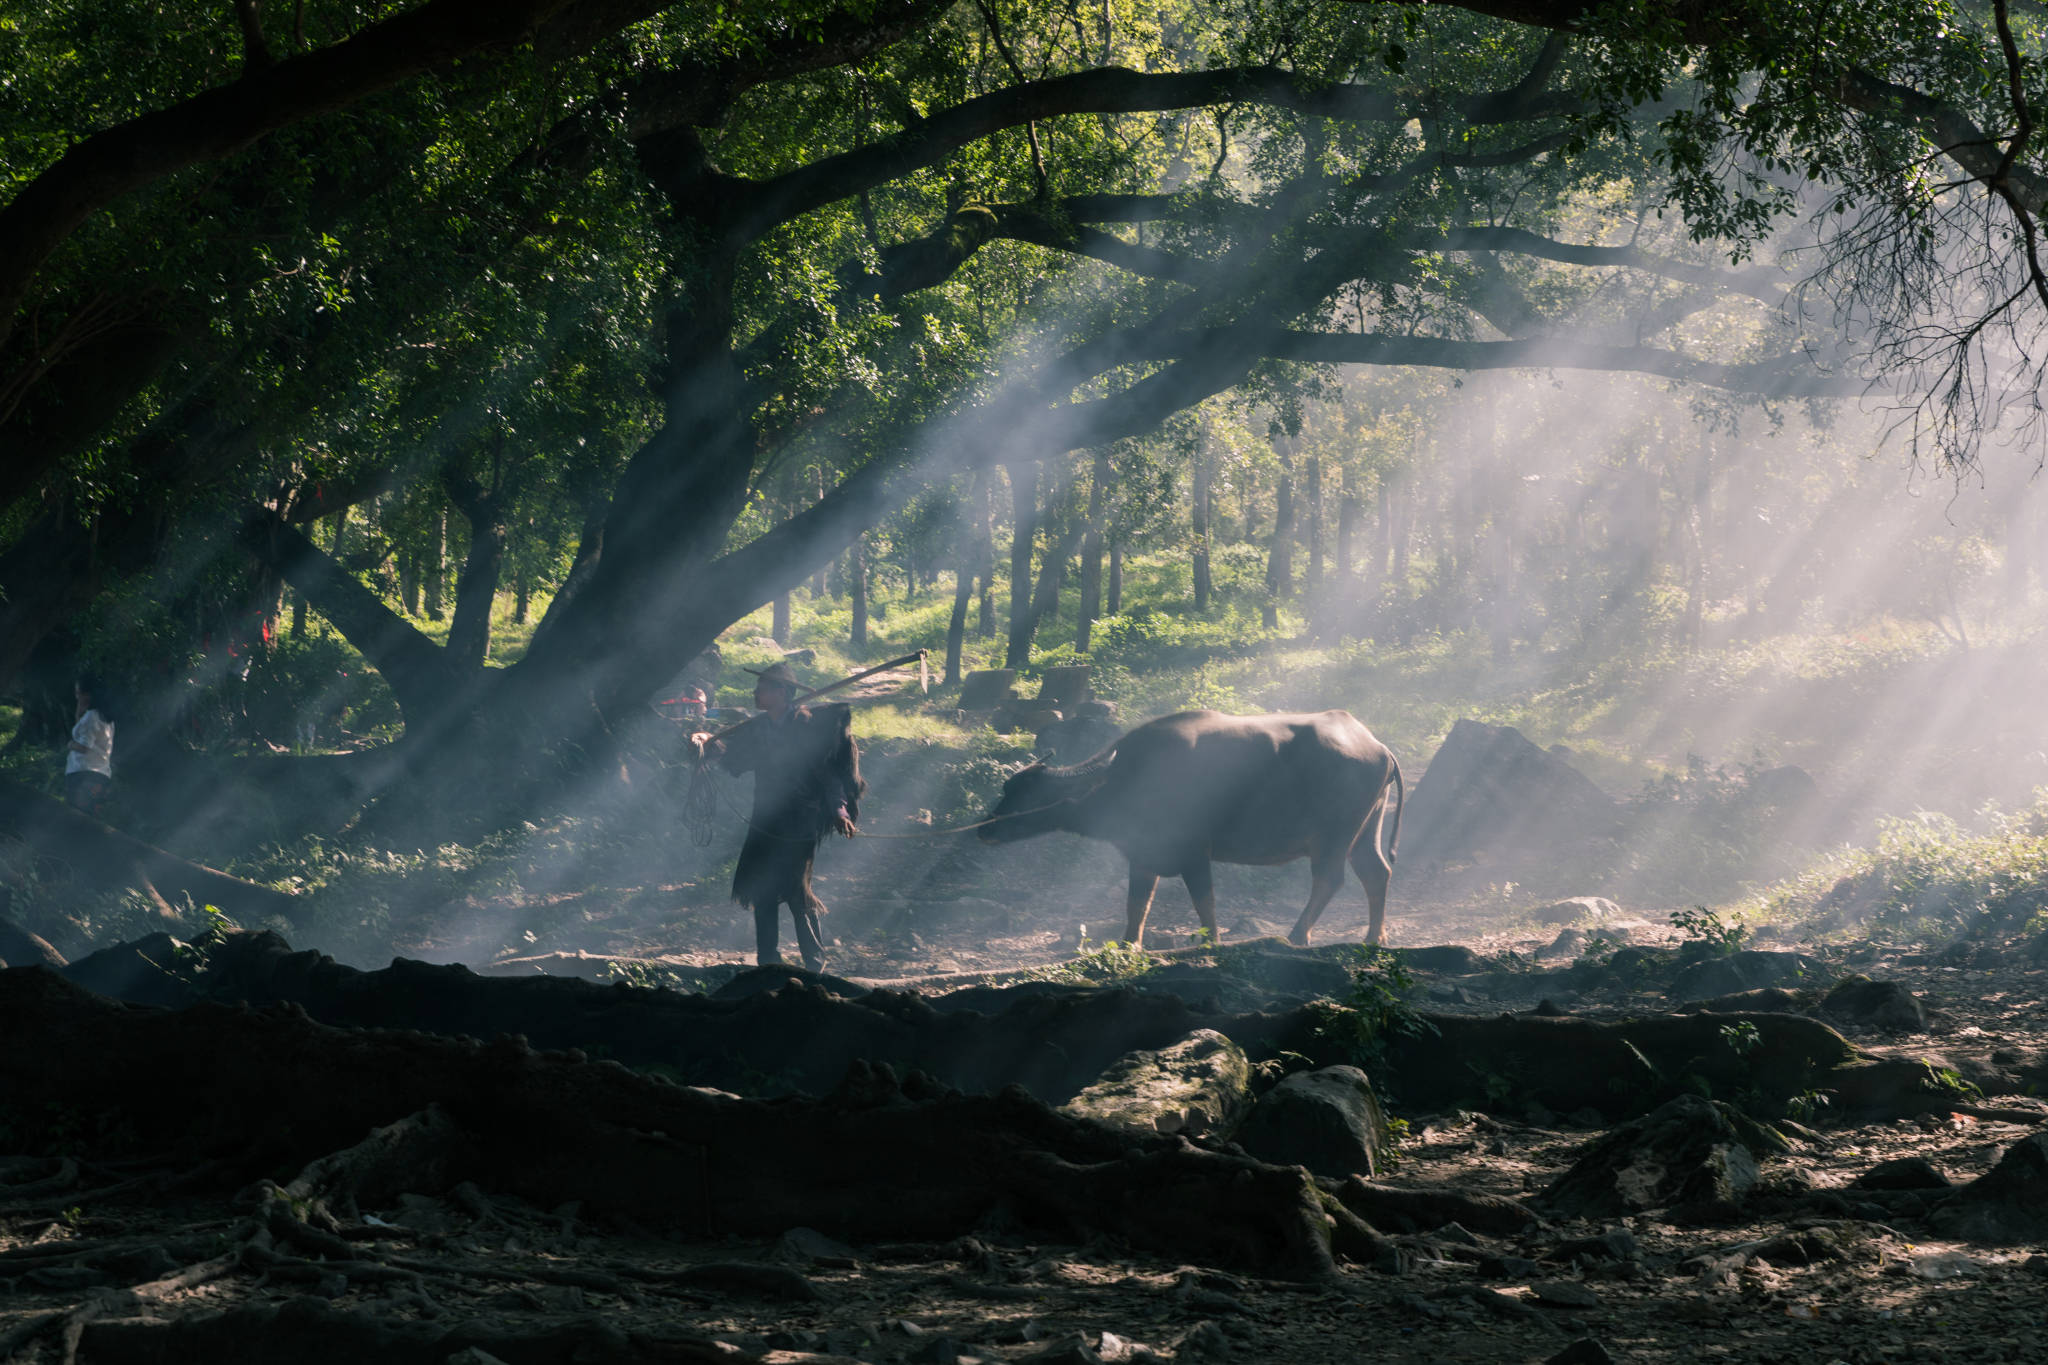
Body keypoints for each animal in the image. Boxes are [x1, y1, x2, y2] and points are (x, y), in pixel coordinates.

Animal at [978, 716, 1400, 949]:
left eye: (1022, 791)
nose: (984, 828)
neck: (1127, 780)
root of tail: (1377, 746)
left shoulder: (1195, 851)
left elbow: (1203, 899)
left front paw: (1211, 940)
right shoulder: (1142, 854)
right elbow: (1137, 903)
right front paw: (1129, 945)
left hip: (1334, 836)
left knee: (1329, 880)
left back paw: (1298, 935)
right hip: (1365, 831)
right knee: (1377, 873)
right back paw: (1373, 937)